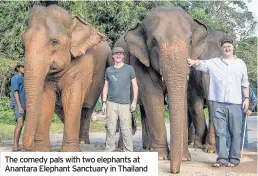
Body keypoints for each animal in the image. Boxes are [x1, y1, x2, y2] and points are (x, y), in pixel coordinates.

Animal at [110, 6, 207, 173]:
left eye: (190, 41)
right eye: (154, 42)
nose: (174, 171)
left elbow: (181, 99)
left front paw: (184, 158)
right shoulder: (139, 63)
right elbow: (153, 97)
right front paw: (161, 157)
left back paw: (148, 148)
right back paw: (126, 148)